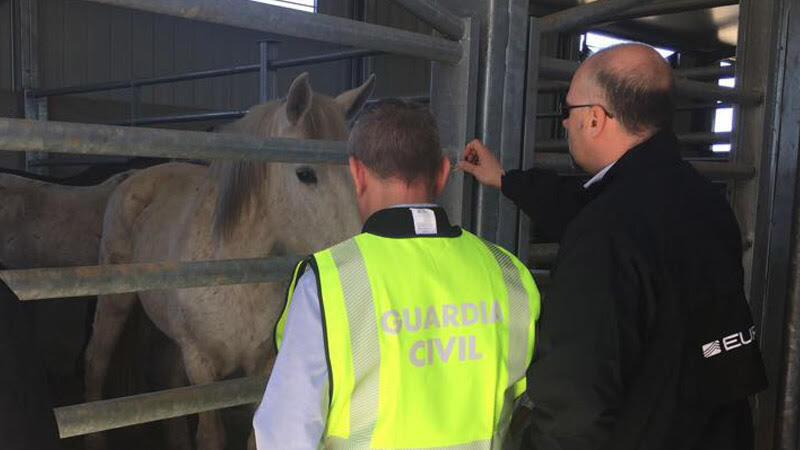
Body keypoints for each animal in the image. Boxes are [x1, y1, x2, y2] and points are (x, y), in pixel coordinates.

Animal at [86, 72, 374, 448]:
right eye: (305, 173)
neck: (235, 275)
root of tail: (133, 177)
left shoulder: (262, 366)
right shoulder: (201, 364)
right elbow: (211, 435)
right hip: (116, 302)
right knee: (98, 358)